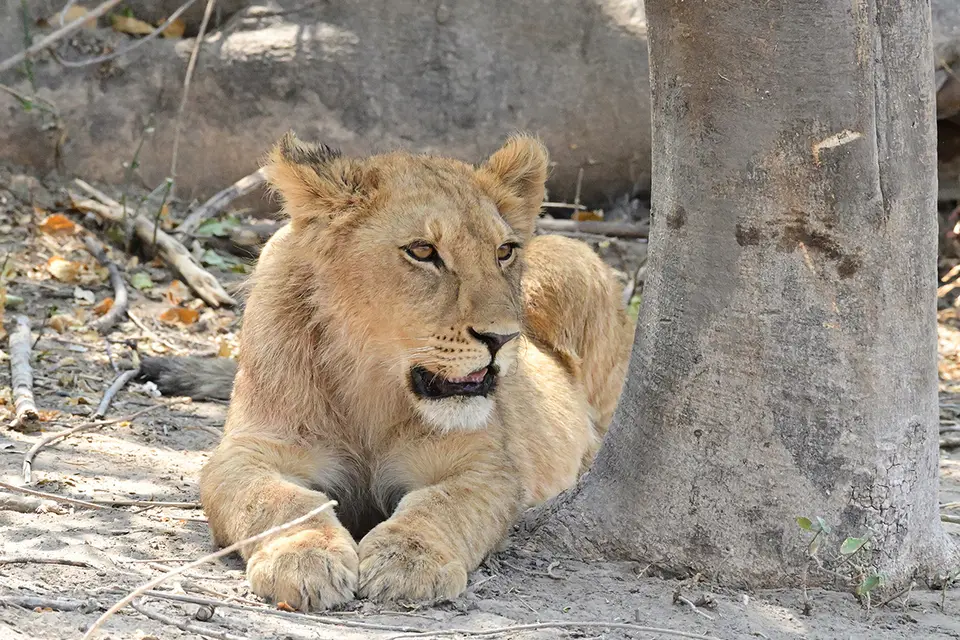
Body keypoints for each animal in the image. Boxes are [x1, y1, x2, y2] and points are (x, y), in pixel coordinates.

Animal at [138, 132, 634, 610]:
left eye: (505, 251)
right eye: (423, 251)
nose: (503, 339)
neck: (371, 380)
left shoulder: (487, 464)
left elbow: (444, 503)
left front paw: (408, 560)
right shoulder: (249, 449)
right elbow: (276, 500)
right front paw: (303, 554)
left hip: (572, 262)